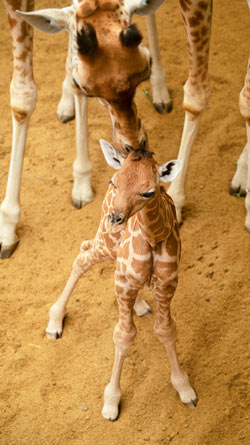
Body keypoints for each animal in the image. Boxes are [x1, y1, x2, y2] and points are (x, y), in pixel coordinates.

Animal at [46, 140, 196, 420]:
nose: (116, 218)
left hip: (114, 251)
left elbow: (166, 330)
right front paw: (111, 402)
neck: (153, 238)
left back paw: (140, 305)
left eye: (148, 192)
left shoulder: (167, 284)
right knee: (82, 256)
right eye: (114, 181)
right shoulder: (126, 281)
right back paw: (54, 322)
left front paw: (185, 389)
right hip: (106, 243)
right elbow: (124, 336)